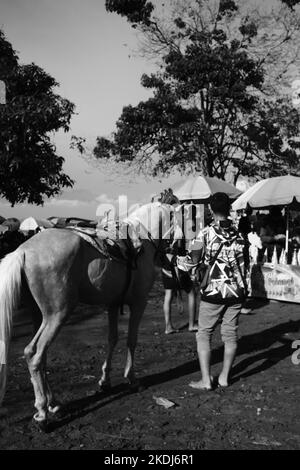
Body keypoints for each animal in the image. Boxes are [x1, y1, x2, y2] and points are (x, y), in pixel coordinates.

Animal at [0, 200, 173, 428]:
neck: (141, 240)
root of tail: (24, 250)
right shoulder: (139, 303)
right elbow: (131, 340)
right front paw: (131, 378)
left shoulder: (113, 304)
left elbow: (112, 339)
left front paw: (105, 380)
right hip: (58, 314)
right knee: (35, 354)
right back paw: (42, 412)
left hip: (41, 315)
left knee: (38, 354)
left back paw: (53, 403)